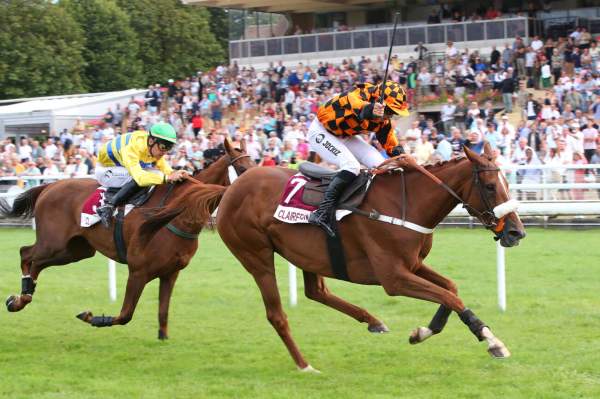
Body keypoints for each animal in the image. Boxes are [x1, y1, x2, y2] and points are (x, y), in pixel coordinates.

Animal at [0, 139, 254, 340]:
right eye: (242, 167)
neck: (181, 212)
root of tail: (49, 186)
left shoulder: (171, 272)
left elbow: (163, 312)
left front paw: (163, 339)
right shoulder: (138, 270)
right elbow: (125, 315)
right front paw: (92, 317)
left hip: (74, 251)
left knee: (37, 262)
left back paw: (22, 297)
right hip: (53, 243)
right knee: (26, 253)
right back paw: (20, 298)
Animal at [216, 144, 524, 372]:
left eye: (507, 183)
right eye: (489, 186)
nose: (516, 232)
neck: (406, 204)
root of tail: (233, 186)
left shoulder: (413, 264)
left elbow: (450, 289)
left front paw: (422, 332)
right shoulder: (393, 277)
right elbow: (451, 297)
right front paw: (492, 341)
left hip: (306, 254)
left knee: (316, 292)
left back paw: (373, 321)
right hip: (256, 256)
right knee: (277, 314)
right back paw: (305, 365)